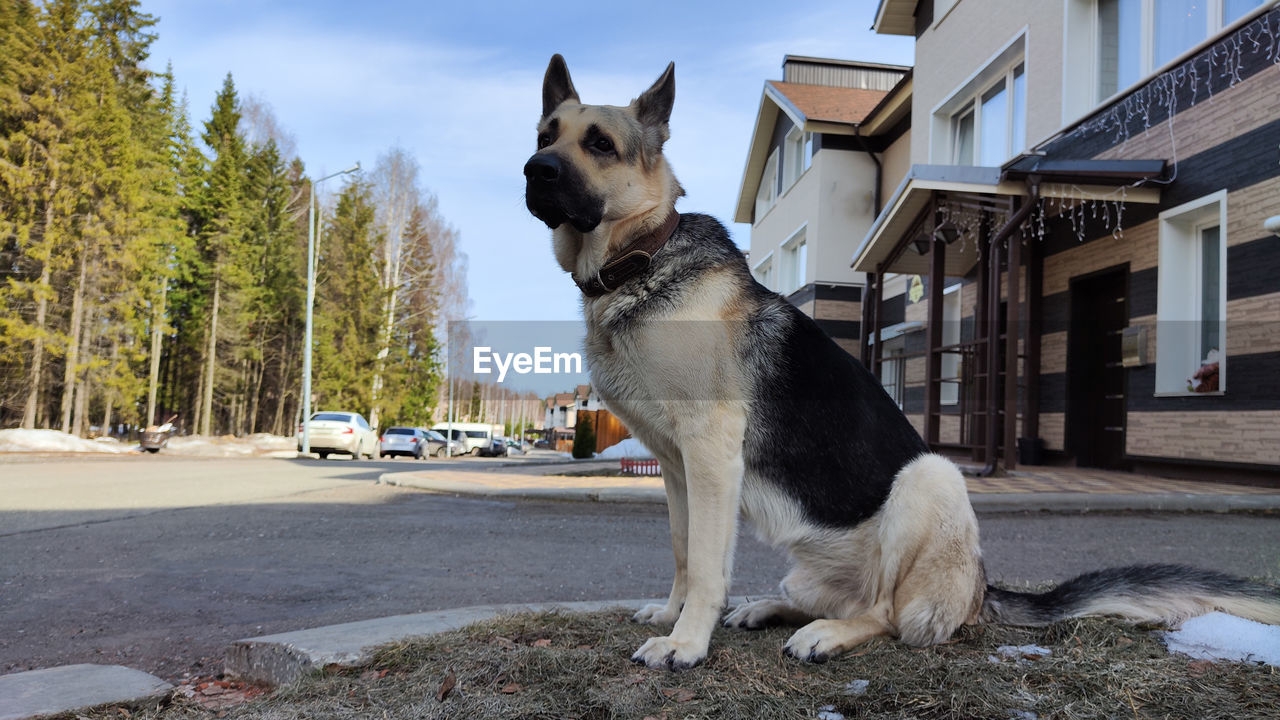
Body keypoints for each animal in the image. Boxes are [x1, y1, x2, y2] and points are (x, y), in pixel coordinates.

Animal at [519, 54, 1280, 666]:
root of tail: (980, 590)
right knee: (838, 598)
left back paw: (828, 634)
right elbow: (683, 553)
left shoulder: (710, 457)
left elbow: (707, 564)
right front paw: (675, 616)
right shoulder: (678, 469)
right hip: (814, 557)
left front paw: (685, 644)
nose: (534, 170)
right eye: (544, 136)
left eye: (599, 143)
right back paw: (771, 607)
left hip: (930, 479)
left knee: (885, 614)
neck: (638, 262)